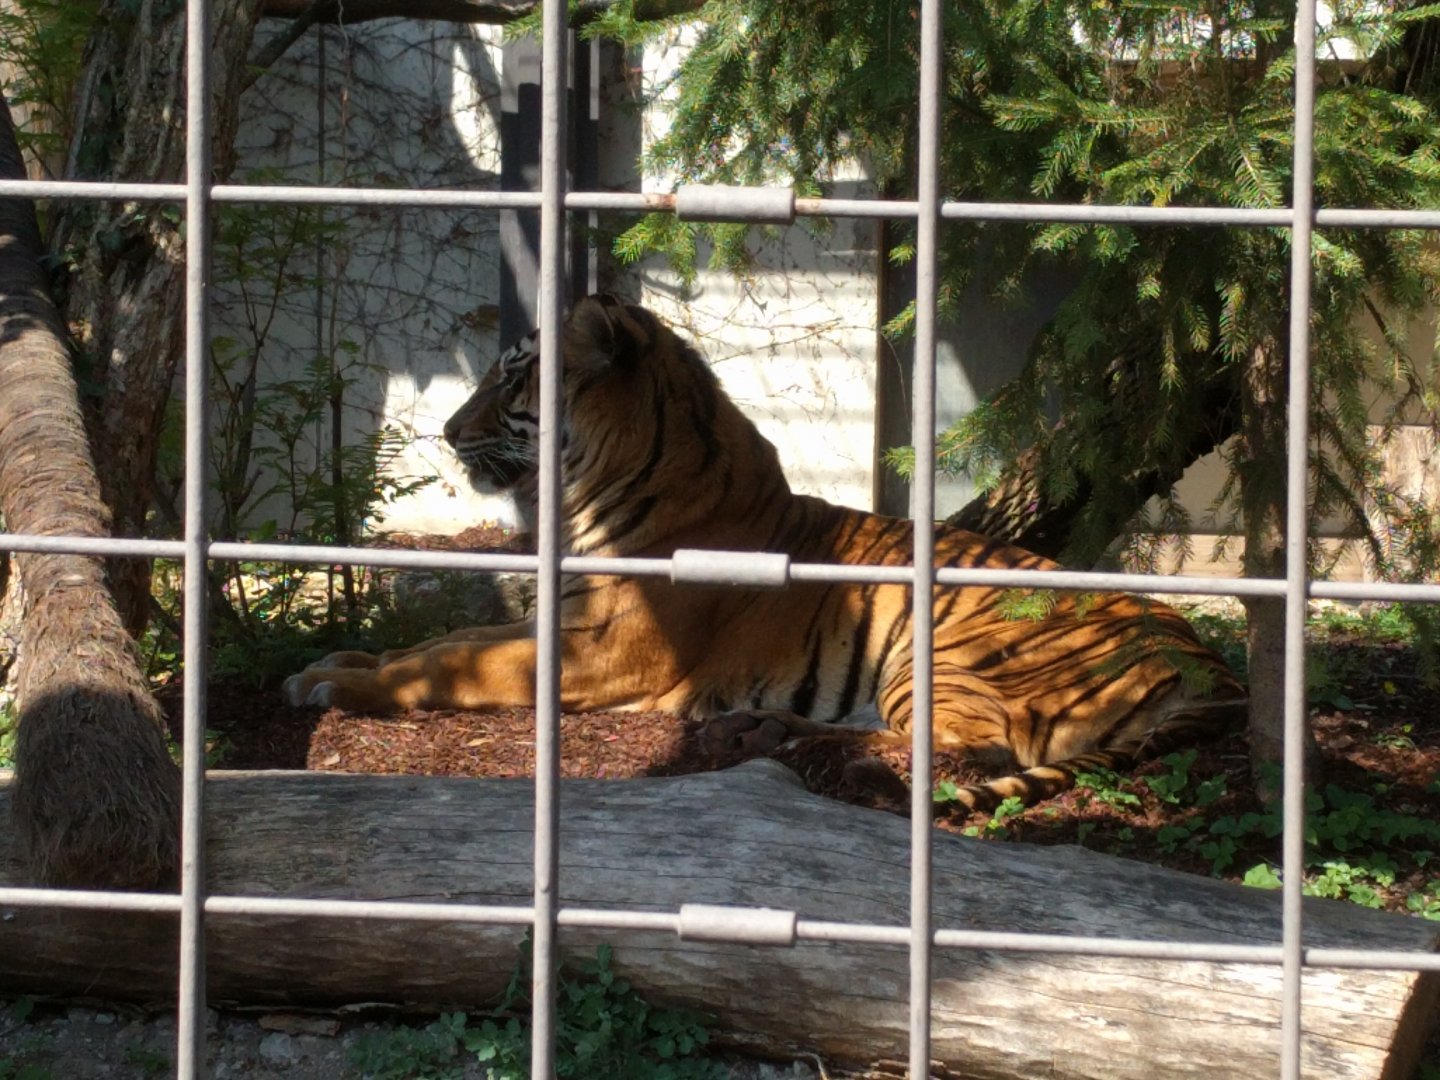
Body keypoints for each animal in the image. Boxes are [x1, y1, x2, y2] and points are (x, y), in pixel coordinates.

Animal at [283, 294, 1247, 813]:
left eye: (512, 378)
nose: (448, 432)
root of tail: (1207, 657)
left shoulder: (605, 652)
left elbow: (453, 666)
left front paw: (340, 687)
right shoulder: (564, 620)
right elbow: (442, 642)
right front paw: (335, 660)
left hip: (947, 653)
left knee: (969, 747)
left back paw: (766, 734)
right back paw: (750, 727)